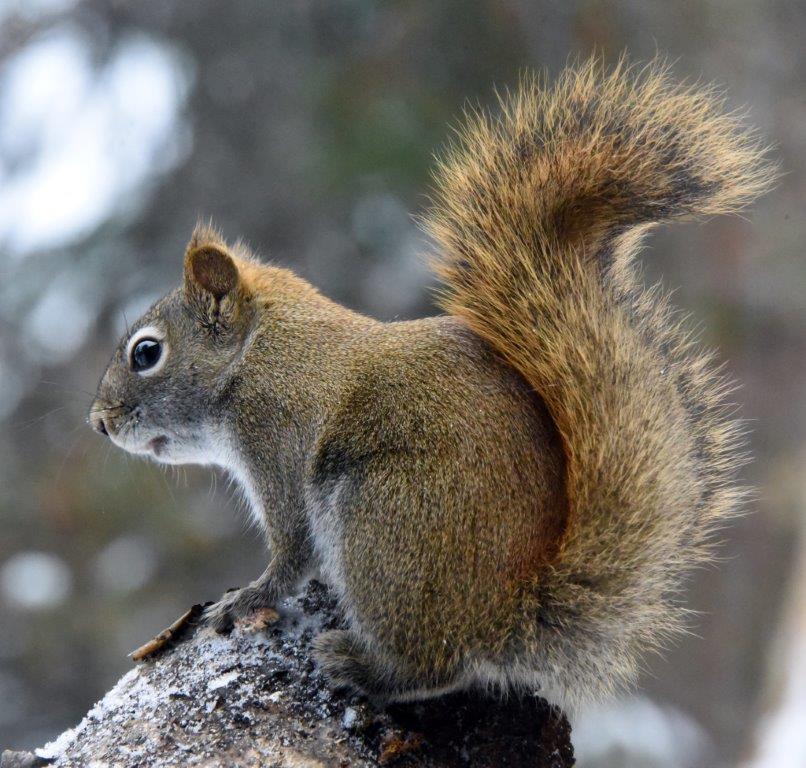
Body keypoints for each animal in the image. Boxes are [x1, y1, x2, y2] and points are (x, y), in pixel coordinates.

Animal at [89, 58, 774, 711]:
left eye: (146, 352)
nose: (99, 421)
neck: (260, 353)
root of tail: (506, 609)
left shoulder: (278, 445)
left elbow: (291, 554)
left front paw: (247, 598)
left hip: (381, 521)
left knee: (431, 665)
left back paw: (360, 665)